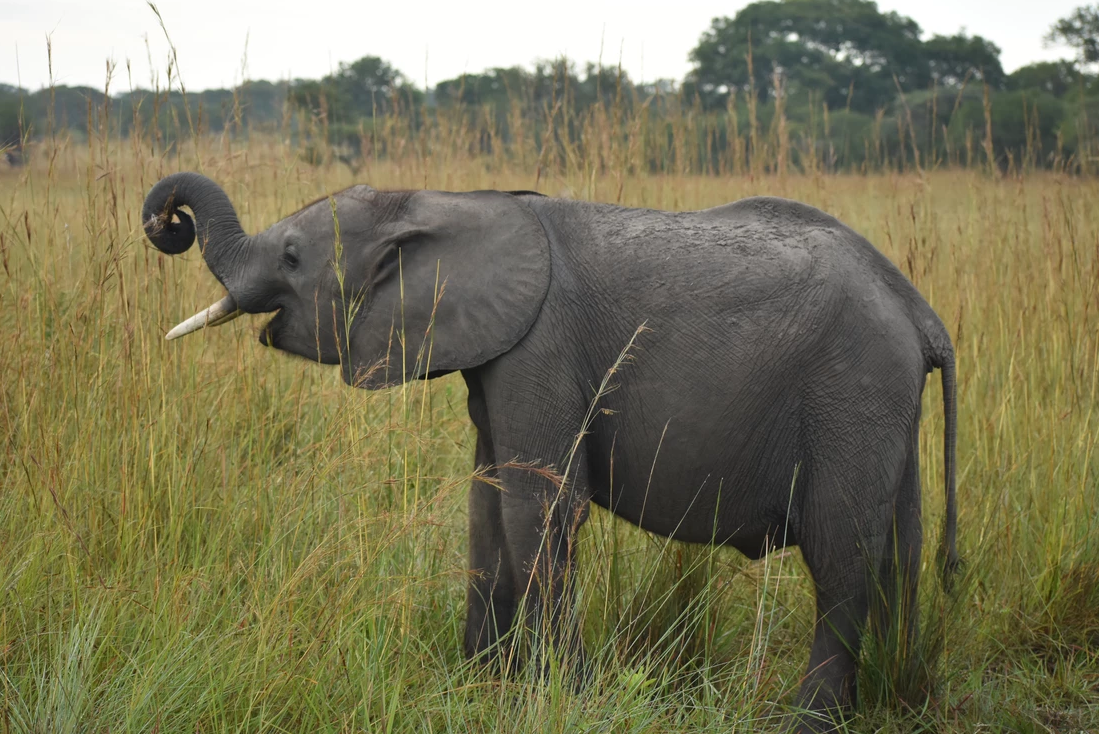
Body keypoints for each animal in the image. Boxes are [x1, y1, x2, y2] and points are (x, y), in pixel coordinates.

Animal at [141, 172, 959, 732]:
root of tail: (920, 310)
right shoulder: (494, 354)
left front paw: (564, 696)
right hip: (882, 407)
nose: (168, 219)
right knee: (899, 553)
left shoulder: (542, 345)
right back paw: (894, 699)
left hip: (852, 389)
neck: (439, 201)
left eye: (289, 256)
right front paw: (476, 688)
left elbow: (539, 508)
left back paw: (809, 722)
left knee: (843, 557)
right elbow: (487, 503)